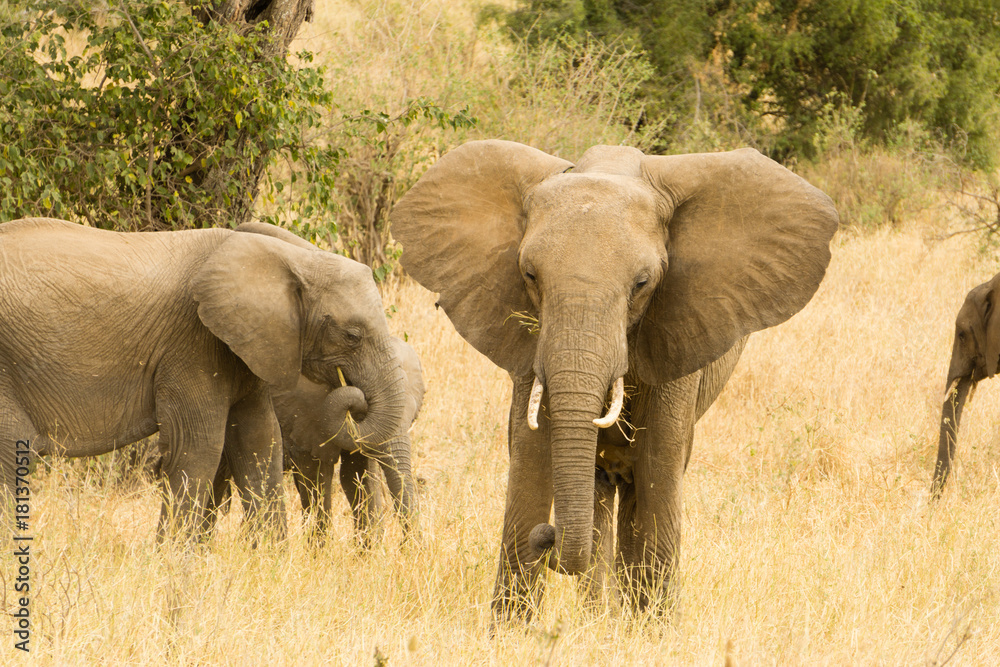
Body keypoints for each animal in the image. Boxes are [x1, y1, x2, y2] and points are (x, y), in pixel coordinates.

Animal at [0, 219, 410, 544]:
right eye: (353, 336)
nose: (354, 396)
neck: (291, 256)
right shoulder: (193, 343)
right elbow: (199, 446)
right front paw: (170, 561)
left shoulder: (246, 347)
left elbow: (260, 441)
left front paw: (271, 563)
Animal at [274, 336, 426, 544]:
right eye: (362, 412)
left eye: (412, 418)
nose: (405, 546)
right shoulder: (302, 414)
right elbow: (316, 477)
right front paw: (318, 549)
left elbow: (356, 476)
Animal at [386, 140, 840, 620]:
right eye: (530, 275)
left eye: (642, 283)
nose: (547, 536)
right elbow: (530, 460)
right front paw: (511, 630)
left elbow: (659, 466)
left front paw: (656, 629)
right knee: (600, 490)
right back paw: (598, 616)